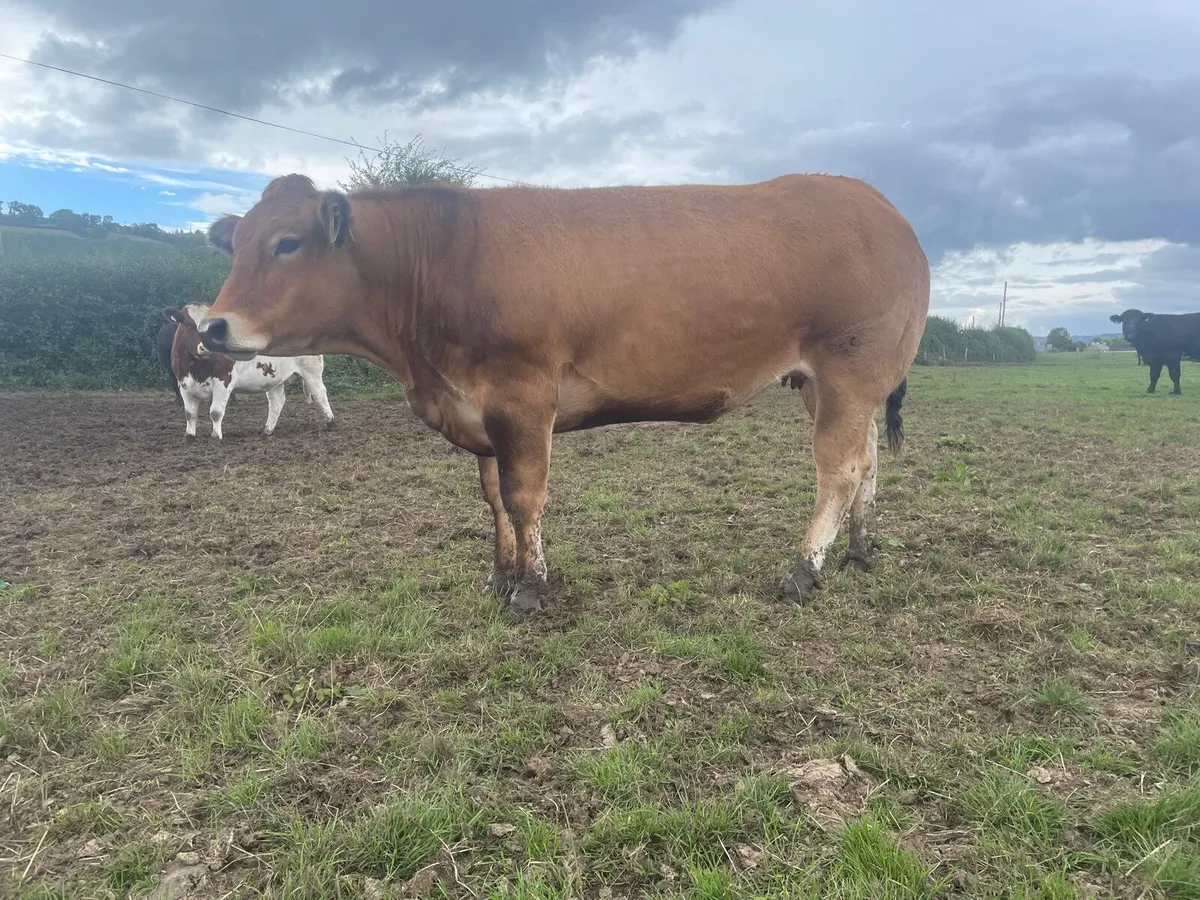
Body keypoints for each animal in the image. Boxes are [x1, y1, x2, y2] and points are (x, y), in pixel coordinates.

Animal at [163, 304, 335, 439]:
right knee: (277, 402)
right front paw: (189, 436)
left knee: (320, 393)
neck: (196, 367)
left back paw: (330, 422)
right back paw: (267, 430)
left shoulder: (223, 382)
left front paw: (216, 437)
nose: (205, 347)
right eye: (188, 325)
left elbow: (216, 412)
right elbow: (189, 414)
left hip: (311, 372)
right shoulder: (183, 384)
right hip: (274, 378)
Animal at [193, 172, 930, 614]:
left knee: (838, 469)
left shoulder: (520, 397)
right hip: (828, 383)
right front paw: (499, 576)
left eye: (287, 243)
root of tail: (876, 201)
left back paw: (805, 568)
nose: (213, 327)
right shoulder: (477, 410)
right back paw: (861, 546)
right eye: (237, 244)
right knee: (867, 458)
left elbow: (524, 497)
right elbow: (493, 498)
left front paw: (533, 587)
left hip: (849, 367)